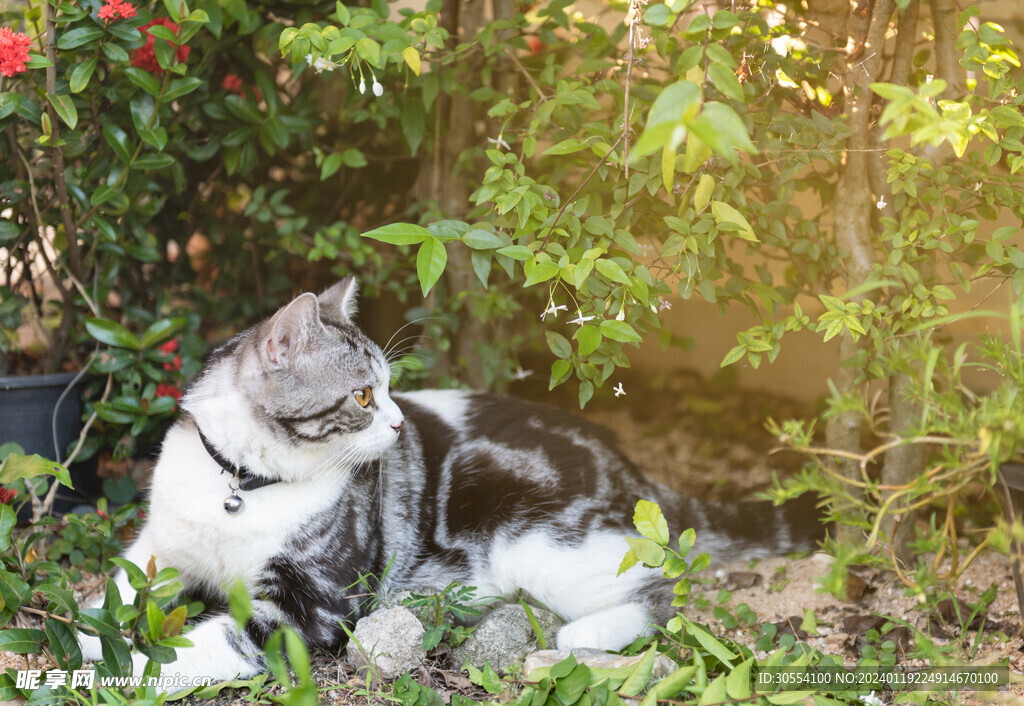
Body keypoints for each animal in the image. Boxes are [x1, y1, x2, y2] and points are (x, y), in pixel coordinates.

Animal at [79, 276, 819, 684]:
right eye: (364, 396)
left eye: (388, 389)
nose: (401, 422)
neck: (240, 482)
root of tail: (632, 468)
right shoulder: (158, 546)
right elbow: (110, 594)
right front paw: (87, 638)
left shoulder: (308, 606)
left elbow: (208, 642)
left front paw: (121, 671)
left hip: (540, 541)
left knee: (662, 590)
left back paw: (581, 637)